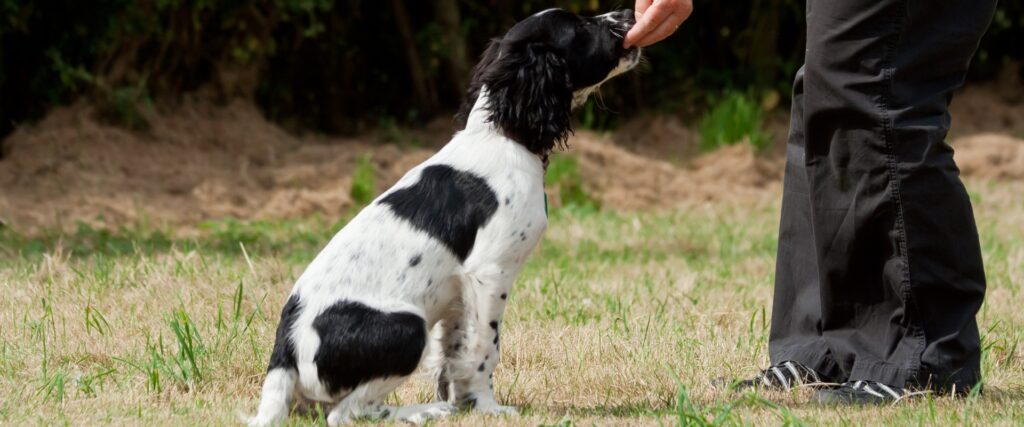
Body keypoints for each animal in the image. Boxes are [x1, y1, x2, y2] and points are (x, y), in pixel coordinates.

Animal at [247, 8, 638, 423]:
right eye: (580, 26)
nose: (627, 13)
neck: (501, 136)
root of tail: (283, 355)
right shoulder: (489, 273)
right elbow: (484, 348)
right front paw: (486, 407)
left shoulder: (458, 293)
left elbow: (455, 352)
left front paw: (465, 402)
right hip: (407, 328)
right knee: (347, 413)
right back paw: (425, 411)